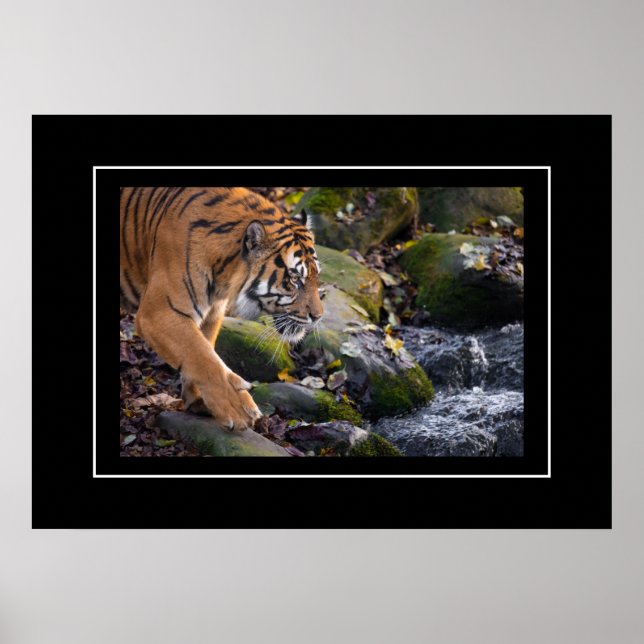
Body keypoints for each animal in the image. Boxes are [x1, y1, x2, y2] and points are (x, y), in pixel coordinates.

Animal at [120, 187, 324, 431]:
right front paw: (239, 408)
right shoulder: (159, 312)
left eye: (315, 276)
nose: (318, 316)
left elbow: (204, 347)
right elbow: (202, 357)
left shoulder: (212, 311)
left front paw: (198, 401)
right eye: (294, 279)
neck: (224, 271)